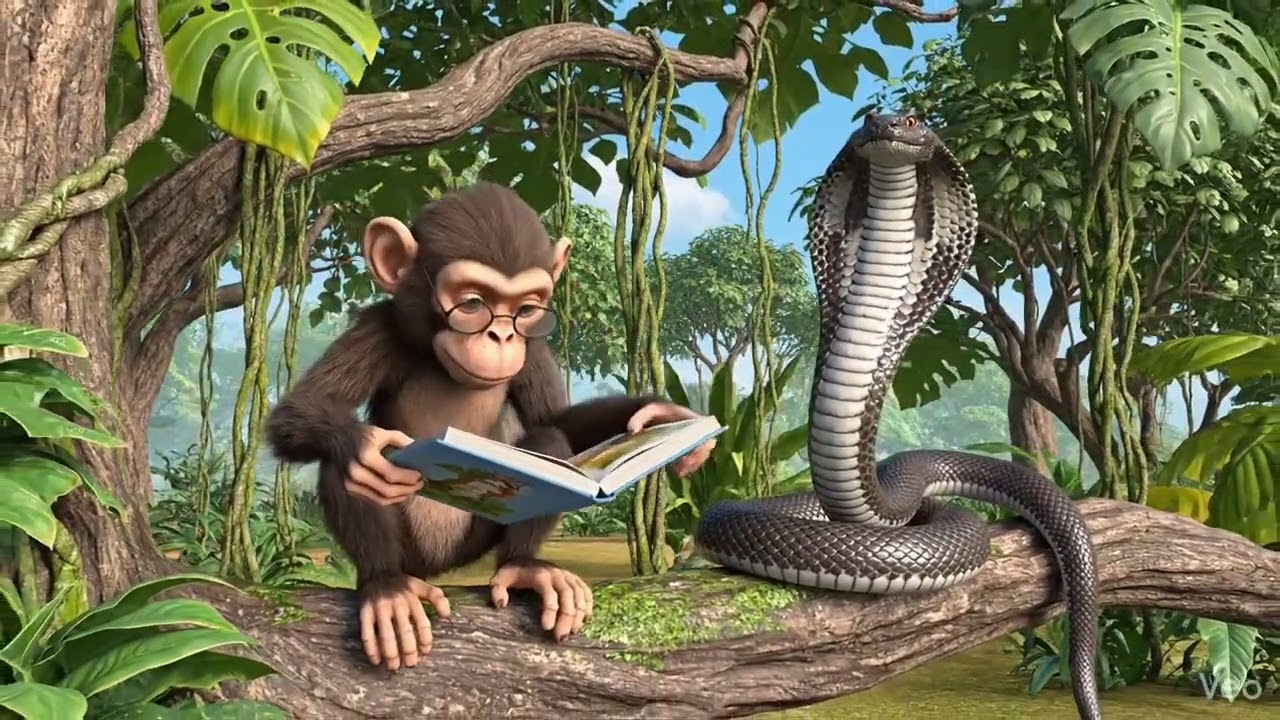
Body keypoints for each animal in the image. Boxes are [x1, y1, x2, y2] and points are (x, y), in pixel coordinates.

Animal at [265, 182, 716, 672]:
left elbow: (554, 422)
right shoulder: (377, 328)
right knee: (351, 467)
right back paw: (387, 587)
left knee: (548, 442)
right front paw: (362, 445)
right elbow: (301, 411)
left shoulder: (534, 345)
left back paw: (524, 567)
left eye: (526, 309)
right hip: (414, 553)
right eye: (472, 304)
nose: (501, 335)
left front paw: (661, 415)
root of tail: (438, 568)